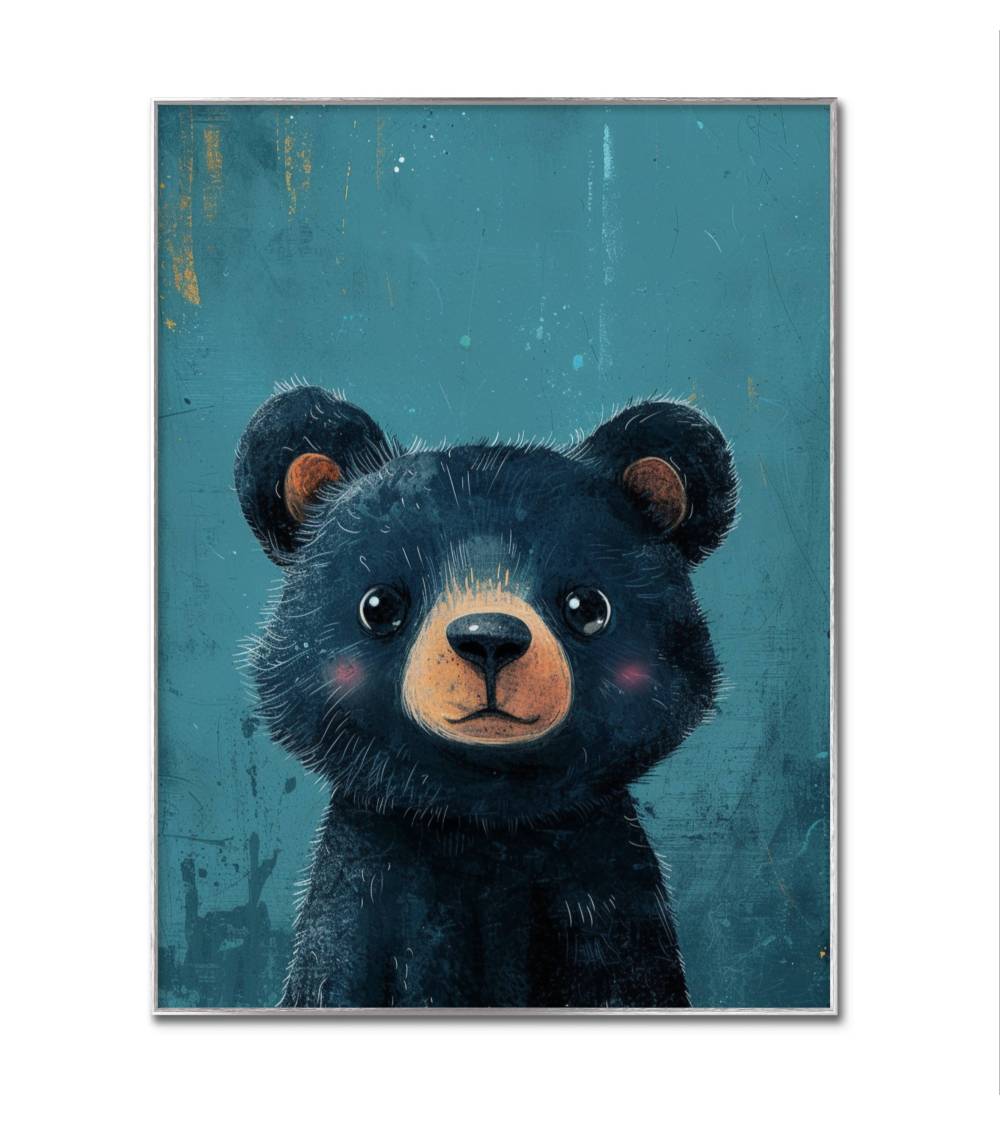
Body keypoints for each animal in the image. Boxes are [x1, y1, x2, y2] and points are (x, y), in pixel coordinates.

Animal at [234, 385, 737, 1009]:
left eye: (587, 606)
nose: (489, 639)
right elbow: (335, 973)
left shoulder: (604, 890)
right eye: (379, 605)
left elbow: (631, 978)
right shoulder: (366, 885)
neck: (481, 821)